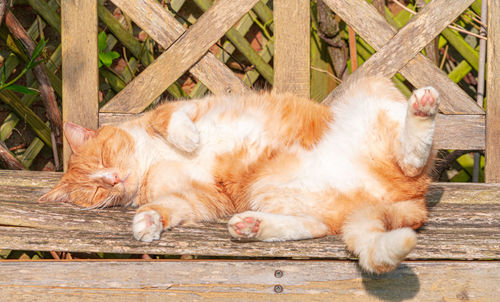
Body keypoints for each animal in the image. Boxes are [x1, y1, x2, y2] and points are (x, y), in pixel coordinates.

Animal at [40, 76, 438, 274]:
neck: (150, 163)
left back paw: (421, 112)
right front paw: (146, 224)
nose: (112, 179)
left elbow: (167, 120)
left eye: (103, 157)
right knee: (315, 226)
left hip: (369, 86)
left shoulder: (181, 108)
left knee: (412, 158)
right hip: (272, 189)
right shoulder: (197, 199)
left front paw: (188, 139)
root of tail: (408, 200)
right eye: (93, 191)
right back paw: (252, 227)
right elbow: (165, 209)